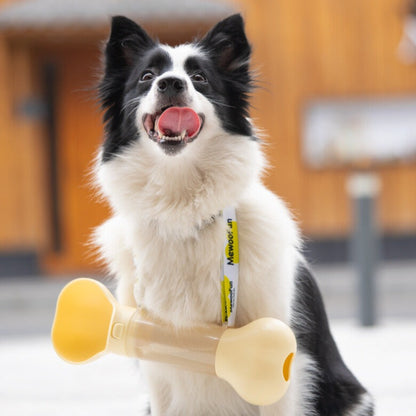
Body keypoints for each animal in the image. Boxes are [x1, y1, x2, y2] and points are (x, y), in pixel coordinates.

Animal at [96, 13, 376, 416]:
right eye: (147, 76)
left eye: (199, 77)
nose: (171, 83)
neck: (184, 211)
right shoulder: (155, 361)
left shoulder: (280, 358)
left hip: (352, 396)